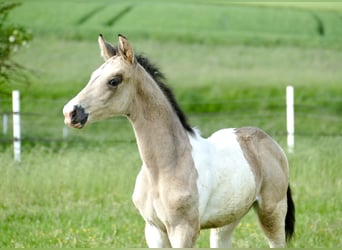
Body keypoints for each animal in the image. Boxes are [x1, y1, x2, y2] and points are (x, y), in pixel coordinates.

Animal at [63, 34, 294, 247]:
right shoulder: (154, 230)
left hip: (272, 212)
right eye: (93, 76)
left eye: (114, 80)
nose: (70, 112)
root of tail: (270, 143)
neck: (165, 166)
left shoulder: (183, 230)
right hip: (228, 219)